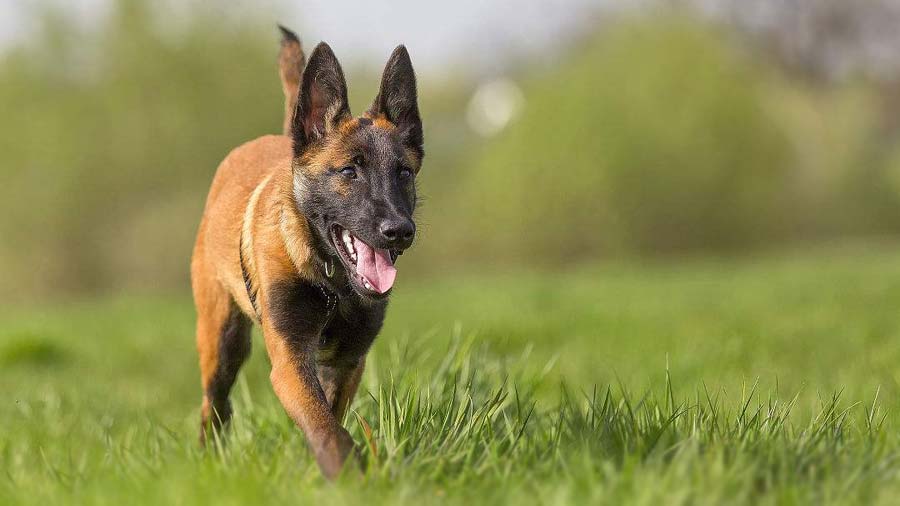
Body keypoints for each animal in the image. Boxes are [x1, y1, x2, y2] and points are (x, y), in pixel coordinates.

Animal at [190, 26, 422, 478]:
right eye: (349, 171)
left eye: (403, 172)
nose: (399, 232)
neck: (332, 284)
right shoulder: (290, 359)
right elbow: (326, 426)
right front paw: (348, 475)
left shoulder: (348, 361)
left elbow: (328, 417)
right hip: (222, 338)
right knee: (215, 403)